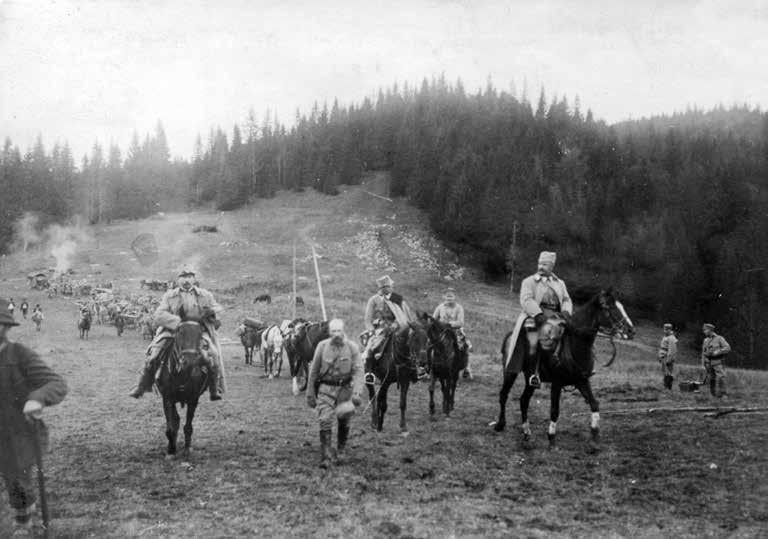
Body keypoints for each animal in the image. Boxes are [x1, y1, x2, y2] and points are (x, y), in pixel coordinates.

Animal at [154, 320, 213, 460]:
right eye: (179, 333)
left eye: (200, 334)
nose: (190, 361)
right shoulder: (167, 399)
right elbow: (171, 427)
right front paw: (171, 451)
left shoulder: (193, 399)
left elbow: (188, 427)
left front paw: (187, 449)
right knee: (175, 420)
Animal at [496, 288, 632, 450]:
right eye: (609, 307)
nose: (631, 330)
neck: (574, 345)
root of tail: (510, 335)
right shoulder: (557, 383)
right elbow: (555, 410)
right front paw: (551, 438)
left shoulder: (582, 381)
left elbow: (594, 404)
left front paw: (594, 436)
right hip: (510, 372)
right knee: (504, 394)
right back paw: (500, 424)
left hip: (531, 379)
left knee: (524, 401)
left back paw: (527, 433)